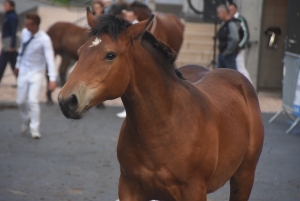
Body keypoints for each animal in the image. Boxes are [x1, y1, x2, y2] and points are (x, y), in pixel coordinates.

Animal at [57, 11, 264, 200]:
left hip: (244, 178)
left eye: (110, 55)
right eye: (80, 52)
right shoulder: (129, 188)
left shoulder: (194, 191)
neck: (165, 127)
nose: (66, 100)